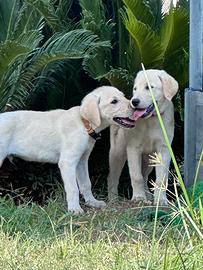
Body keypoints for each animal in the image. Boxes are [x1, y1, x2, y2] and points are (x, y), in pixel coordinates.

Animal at [0, 86, 136, 213]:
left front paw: (93, 202)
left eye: (123, 96)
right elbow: (73, 188)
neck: (83, 123)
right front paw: (75, 209)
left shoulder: (82, 161)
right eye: (114, 101)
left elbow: (86, 183)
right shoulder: (67, 162)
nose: (135, 106)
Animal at [107, 69, 178, 205]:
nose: (134, 102)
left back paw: (148, 195)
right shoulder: (133, 148)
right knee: (113, 176)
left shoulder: (164, 149)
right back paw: (113, 199)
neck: (151, 119)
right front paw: (139, 198)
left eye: (149, 87)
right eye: (135, 89)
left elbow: (161, 178)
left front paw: (160, 200)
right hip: (117, 152)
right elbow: (136, 176)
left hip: (149, 158)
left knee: (145, 175)